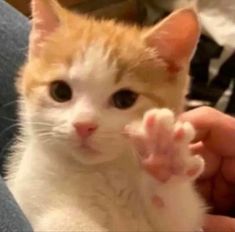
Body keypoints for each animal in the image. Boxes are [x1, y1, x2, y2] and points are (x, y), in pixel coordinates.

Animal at [5, 0, 206, 231]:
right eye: (60, 91)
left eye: (125, 99)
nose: (84, 125)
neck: (101, 172)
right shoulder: (31, 188)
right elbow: (64, 219)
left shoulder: (185, 220)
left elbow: (177, 217)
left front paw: (165, 159)